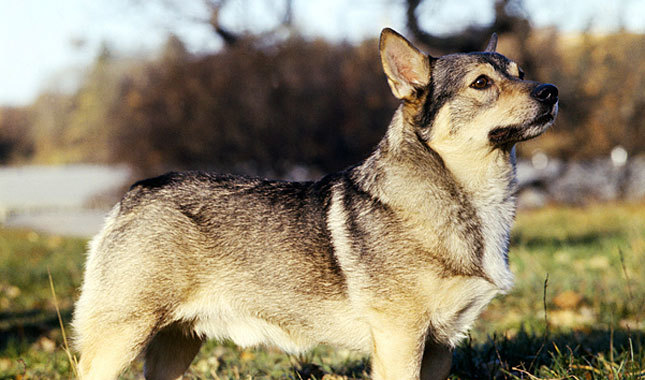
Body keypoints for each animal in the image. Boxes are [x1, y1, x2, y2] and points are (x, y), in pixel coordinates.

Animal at [69, 27, 552, 380]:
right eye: (481, 83)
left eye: (521, 72)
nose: (550, 91)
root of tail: (137, 192)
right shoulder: (401, 340)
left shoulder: (438, 347)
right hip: (122, 339)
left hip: (176, 343)